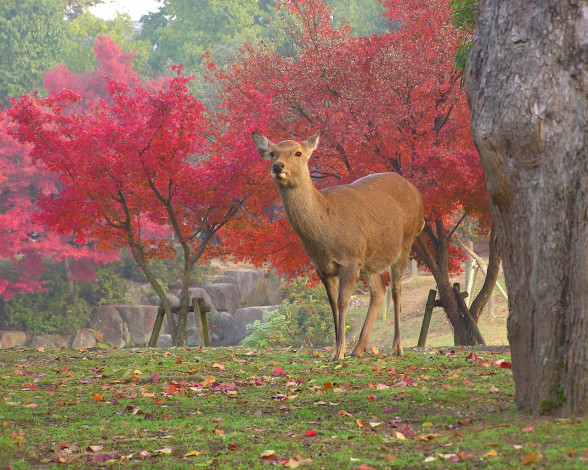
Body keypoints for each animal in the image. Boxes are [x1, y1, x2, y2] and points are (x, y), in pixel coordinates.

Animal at [253, 132, 422, 360]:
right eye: (272, 153)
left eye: (298, 153)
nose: (278, 166)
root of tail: (419, 197)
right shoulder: (322, 266)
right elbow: (332, 304)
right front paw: (335, 350)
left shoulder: (350, 259)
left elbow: (343, 302)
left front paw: (339, 352)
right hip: (369, 260)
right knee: (379, 290)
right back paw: (358, 349)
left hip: (405, 243)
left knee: (396, 289)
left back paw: (397, 347)